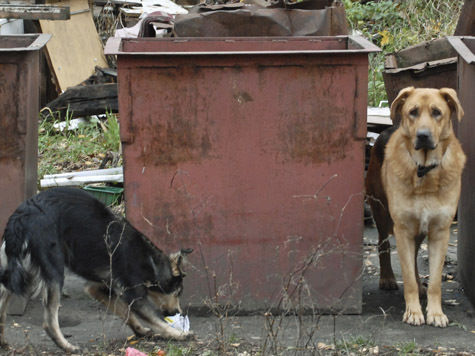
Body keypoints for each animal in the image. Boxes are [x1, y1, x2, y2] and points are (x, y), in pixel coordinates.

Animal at [0, 188, 193, 352]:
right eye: (178, 292)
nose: (178, 313)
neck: (150, 260)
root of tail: (21, 217)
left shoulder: (97, 288)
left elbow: (125, 312)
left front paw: (141, 331)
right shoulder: (134, 294)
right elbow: (153, 318)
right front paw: (179, 334)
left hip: (14, 273)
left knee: (2, 308)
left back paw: (3, 343)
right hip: (54, 273)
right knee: (49, 321)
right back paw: (67, 347)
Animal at [366, 87, 466, 328]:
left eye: (437, 112)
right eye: (413, 112)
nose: (422, 135)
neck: (425, 170)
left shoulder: (440, 232)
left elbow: (435, 281)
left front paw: (435, 313)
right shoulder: (402, 229)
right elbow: (408, 278)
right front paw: (413, 312)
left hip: (418, 230)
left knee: (412, 259)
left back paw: (421, 286)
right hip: (381, 213)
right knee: (384, 246)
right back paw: (387, 277)